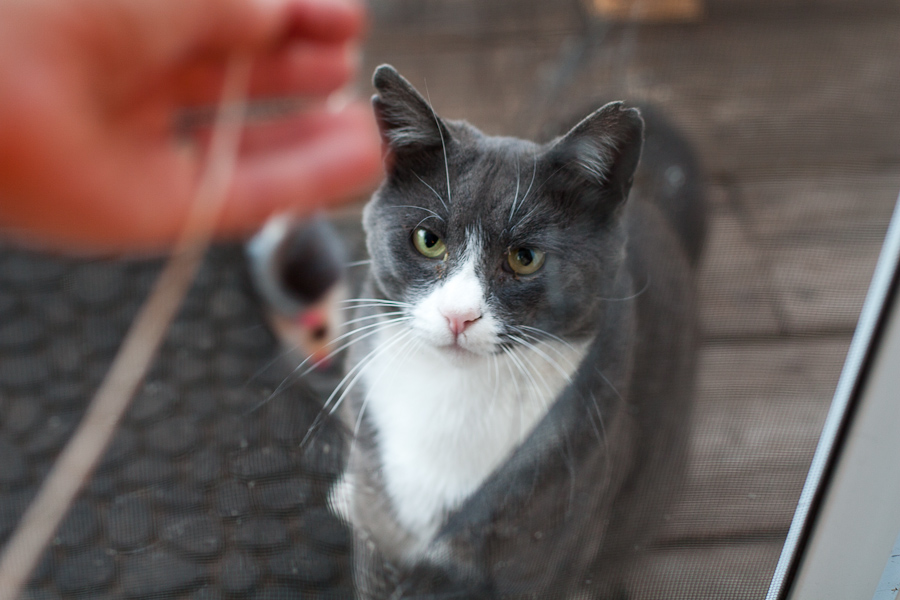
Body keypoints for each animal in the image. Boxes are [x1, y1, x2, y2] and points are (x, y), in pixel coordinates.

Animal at [330, 65, 704, 600]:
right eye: (428, 240)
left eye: (525, 258)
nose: (458, 316)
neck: (453, 394)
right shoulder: (381, 539)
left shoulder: (538, 559)